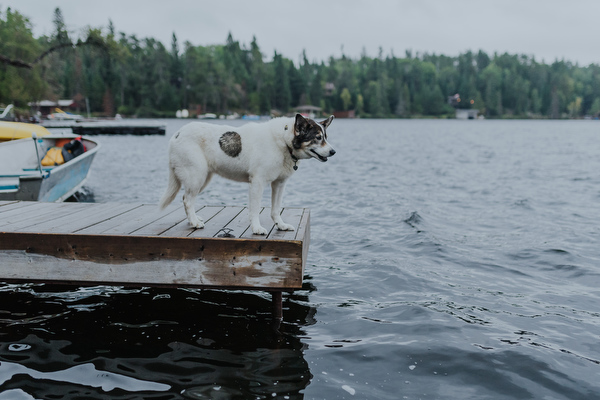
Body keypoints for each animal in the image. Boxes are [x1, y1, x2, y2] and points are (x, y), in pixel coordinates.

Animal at [159, 113, 336, 234]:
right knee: (187, 200)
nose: (333, 152)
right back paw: (195, 222)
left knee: (187, 199)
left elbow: (276, 209)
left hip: (203, 179)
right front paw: (256, 228)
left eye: (325, 137)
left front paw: (280, 225)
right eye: (318, 138)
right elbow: (255, 209)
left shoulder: (279, 184)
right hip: (196, 177)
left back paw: (194, 219)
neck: (284, 141)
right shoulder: (257, 183)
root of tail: (177, 134)